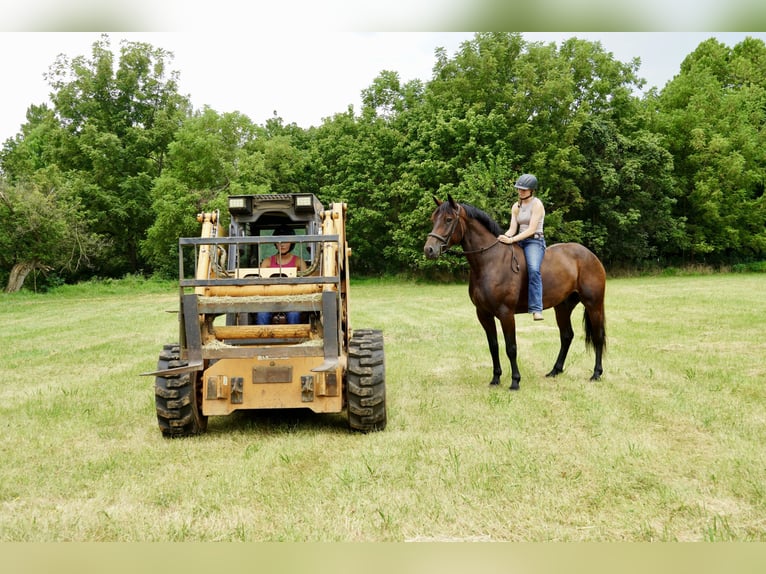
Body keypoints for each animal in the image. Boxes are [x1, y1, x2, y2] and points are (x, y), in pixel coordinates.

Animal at [423, 195, 606, 390]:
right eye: (433, 219)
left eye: (448, 219)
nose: (429, 250)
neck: (490, 261)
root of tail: (590, 255)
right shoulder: (483, 314)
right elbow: (493, 346)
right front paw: (495, 379)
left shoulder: (506, 313)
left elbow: (511, 347)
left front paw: (515, 381)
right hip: (563, 307)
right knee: (566, 336)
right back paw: (555, 371)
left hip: (593, 305)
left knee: (598, 337)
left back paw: (596, 374)